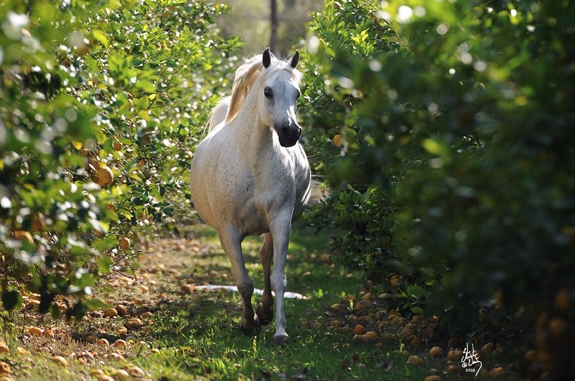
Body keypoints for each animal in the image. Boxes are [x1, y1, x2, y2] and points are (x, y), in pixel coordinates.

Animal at [190, 48, 310, 344]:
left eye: (297, 94)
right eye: (267, 91)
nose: (290, 133)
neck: (252, 160)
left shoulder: (280, 220)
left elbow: (278, 278)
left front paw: (279, 331)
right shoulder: (229, 230)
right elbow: (243, 281)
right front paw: (248, 323)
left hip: (269, 227)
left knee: (266, 258)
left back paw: (265, 311)